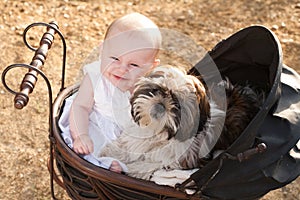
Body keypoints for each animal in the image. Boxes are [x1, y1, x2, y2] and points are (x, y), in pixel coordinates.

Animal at [100, 65, 262, 180]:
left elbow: (154, 163)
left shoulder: (185, 159)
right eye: (157, 90)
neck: (160, 132)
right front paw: (111, 153)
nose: (161, 104)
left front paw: (132, 168)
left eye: (178, 105)